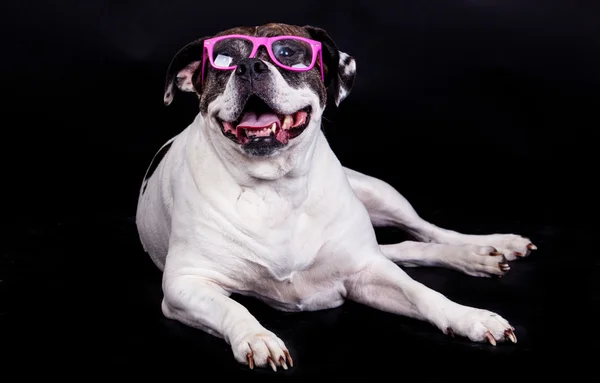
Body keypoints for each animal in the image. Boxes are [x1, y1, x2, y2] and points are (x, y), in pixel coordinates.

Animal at [135, 22, 536, 370]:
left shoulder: (367, 271)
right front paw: (257, 337)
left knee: (427, 232)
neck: (275, 187)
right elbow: (233, 308)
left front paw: (469, 316)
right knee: (405, 249)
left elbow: (423, 294)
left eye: (288, 52)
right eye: (224, 58)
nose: (249, 66)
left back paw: (485, 248)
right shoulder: (184, 285)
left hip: (382, 195)